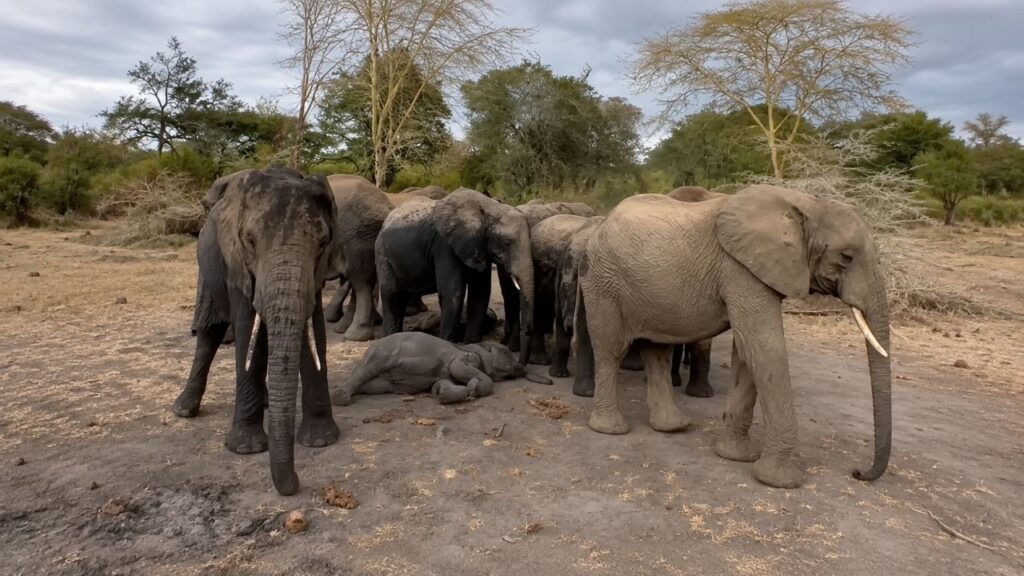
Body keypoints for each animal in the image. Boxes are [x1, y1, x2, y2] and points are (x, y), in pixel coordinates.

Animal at [172, 167, 340, 496]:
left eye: (323, 241)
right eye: (249, 240)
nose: (296, 483)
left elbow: (311, 330)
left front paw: (320, 440)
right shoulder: (236, 264)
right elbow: (245, 324)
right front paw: (245, 449)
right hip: (207, 265)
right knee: (210, 332)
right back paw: (183, 410)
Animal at [330, 332, 551, 406]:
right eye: (506, 351)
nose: (549, 381)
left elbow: (441, 383)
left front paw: (444, 395)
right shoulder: (464, 356)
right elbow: (457, 368)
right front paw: (474, 388)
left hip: (383, 381)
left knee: (371, 384)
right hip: (382, 352)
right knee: (366, 371)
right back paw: (341, 398)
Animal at [375, 188, 536, 364]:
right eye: (507, 242)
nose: (520, 361)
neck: (489, 208)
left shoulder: (479, 246)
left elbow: (480, 293)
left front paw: (473, 346)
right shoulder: (444, 245)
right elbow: (453, 292)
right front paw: (449, 347)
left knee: (402, 297)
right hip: (381, 252)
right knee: (391, 295)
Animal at [575, 185, 891, 489]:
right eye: (846, 257)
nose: (857, 472)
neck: (808, 203)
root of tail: (602, 222)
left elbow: (747, 354)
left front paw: (735, 457)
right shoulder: (740, 270)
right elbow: (764, 348)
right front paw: (780, 481)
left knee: (657, 352)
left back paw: (672, 427)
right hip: (602, 281)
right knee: (610, 351)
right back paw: (611, 429)